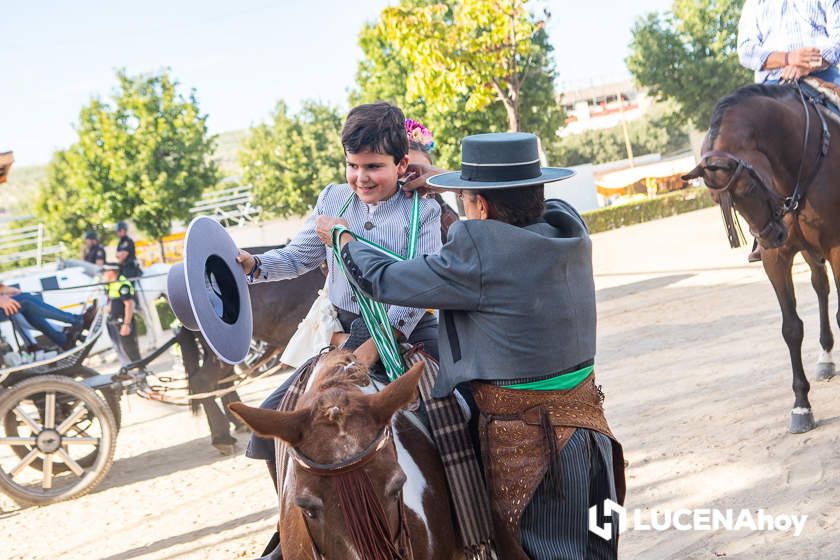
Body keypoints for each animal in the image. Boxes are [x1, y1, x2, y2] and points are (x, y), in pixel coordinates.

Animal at [684, 82, 840, 434]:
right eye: (715, 198)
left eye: (749, 188)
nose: (771, 235)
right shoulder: (776, 259)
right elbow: (791, 328)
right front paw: (800, 405)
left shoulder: (838, 245)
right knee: (820, 287)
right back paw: (825, 357)